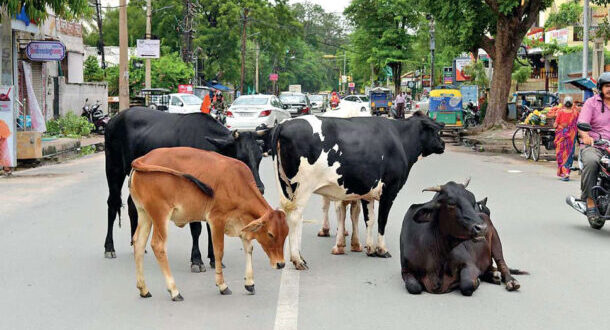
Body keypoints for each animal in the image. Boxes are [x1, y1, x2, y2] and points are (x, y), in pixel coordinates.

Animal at [103, 108, 264, 270]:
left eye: (259, 157)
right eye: (240, 158)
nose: (259, 188)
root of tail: (115, 118)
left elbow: (210, 227)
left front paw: (214, 258)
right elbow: (196, 228)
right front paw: (197, 260)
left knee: (132, 206)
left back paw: (137, 244)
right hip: (114, 168)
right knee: (112, 203)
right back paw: (109, 247)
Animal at [127, 146, 288, 300]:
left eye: (286, 234)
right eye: (270, 234)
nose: (281, 264)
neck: (237, 183)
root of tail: (144, 158)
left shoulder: (242, 224)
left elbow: (249, 248)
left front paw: (249, 283)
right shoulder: (217, 220)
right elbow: (219, 252)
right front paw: (222, 285)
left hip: (144, 214)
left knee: (138, 242)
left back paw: (143, 289)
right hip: (160, 214)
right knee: (158, 245)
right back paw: (174, 291)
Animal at [270, 112, 442, 270]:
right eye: (435, 131)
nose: (442, 145)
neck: (400, 138)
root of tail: (284, 124)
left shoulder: (367, 192)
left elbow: (369, 220)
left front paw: (370, 249)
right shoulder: (389, 191)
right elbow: (382, 220)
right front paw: (382, 250)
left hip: (286, 187)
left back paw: (299, 257)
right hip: (302, 187)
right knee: (295, 217)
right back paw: (297, 260)